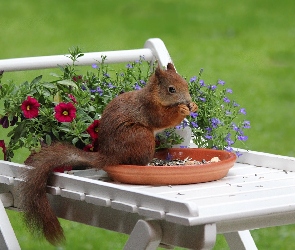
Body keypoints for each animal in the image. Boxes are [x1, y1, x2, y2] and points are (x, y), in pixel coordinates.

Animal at [20, 63, 199, 246]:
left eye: (185, 83)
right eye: (171, 89)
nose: (187, 101)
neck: (154, 95)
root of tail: (109, 155)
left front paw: (193, 105)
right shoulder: (150, 109)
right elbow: (163, 119)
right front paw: (181, 109)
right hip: (141, 136)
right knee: (136, 162)